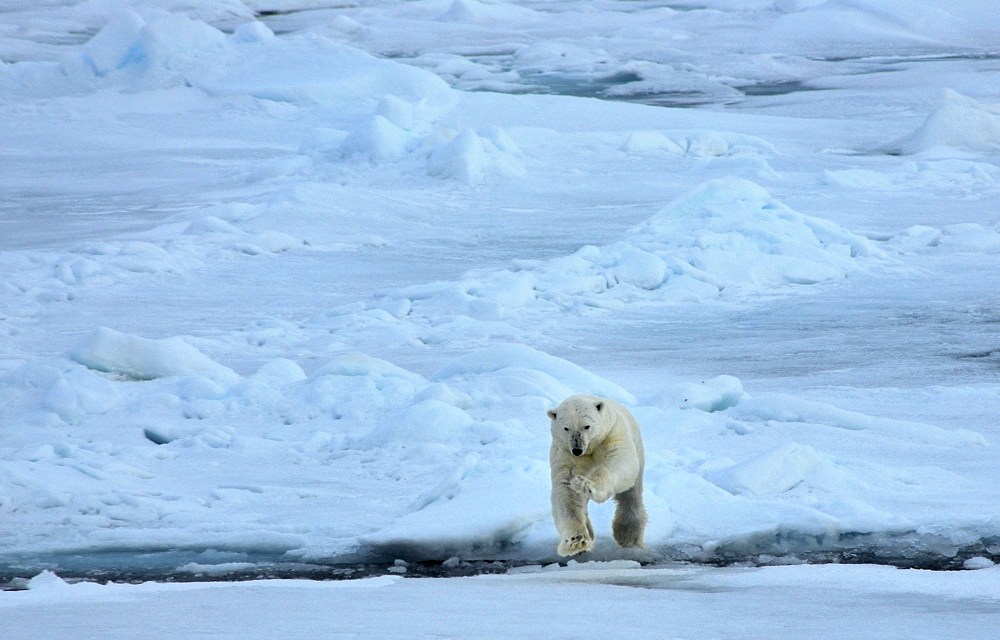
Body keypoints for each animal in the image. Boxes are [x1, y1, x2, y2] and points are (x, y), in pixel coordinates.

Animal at [548, 396, 648, 556]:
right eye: (566, 428)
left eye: (586, 426)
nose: (577, 449)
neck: (590, 449)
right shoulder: (565, 453)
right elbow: (566, 492)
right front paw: (576, 542)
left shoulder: (611, 434)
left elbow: (619, 462)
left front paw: (585, 485)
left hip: (638, 451)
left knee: (631, 494)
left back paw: (627, 536)